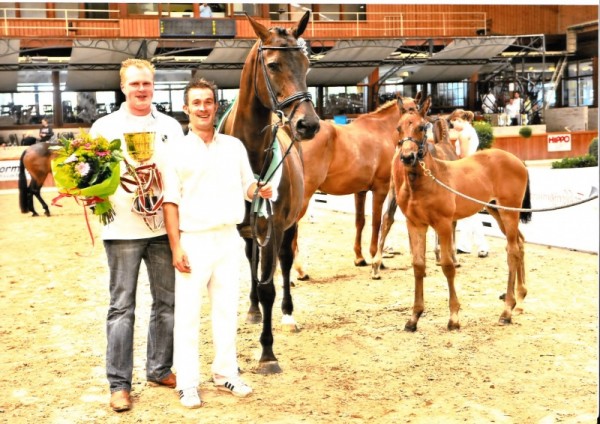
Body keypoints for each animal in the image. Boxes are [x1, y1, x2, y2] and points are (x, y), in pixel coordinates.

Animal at [220, 10, 322, 374]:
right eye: (274, 64)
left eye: (306, 64)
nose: (309, 124)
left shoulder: (275, 226)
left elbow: (270, 287)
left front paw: (267, 353)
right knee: (253, 263)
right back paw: (251, 310)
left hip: (288, 225)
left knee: (285, 263)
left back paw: (288, 315)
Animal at [292, 94, 420, 280]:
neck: (381, 131)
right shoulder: (380, 190)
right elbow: (376, 222)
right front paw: (376, 259)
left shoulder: (360, 190)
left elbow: (360, 221)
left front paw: (359, 258)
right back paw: (300, 270)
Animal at [394, 96, 528, 332]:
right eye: (398, 128)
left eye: (422, 127)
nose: (408, 157)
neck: (429, 180)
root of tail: (516, 160)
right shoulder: (415, 224)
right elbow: (418, 265)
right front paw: (414, 317)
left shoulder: (444, 224)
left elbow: (448, 265)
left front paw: (454, 317)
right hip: (496, 211)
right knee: (519, 244)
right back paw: (519, 301)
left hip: (508, 212)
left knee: (512, 250)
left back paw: (506, 311)